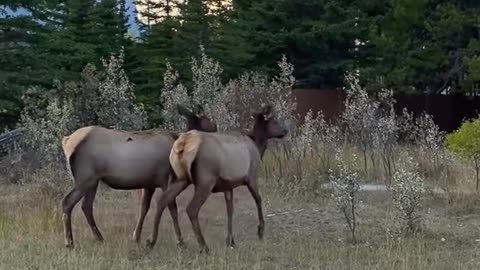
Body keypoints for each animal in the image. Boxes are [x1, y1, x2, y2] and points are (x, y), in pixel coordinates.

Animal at [60, 104, 218, 248]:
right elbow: (172, 207)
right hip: (85, 177)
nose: (216, 130)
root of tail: (66, 141)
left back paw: (99, 238)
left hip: (93, 180)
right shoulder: (165, 179)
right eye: (207, 121)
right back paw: (69, 242)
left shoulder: (149, 184)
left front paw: (136, 237)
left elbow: (144, 208)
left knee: (86, 206)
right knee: (67, 201)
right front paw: (180, 241)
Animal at [144, 104, 286, 253]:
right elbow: (258, 199)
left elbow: (230, 209)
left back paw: (151, 241)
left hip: (180, 178)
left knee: (162, 200)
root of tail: (184, 143)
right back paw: (203, 246)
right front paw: (260, 232)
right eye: (274, 121)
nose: (285, 130)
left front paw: (230, 240)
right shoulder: (252, 175)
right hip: (206, 180)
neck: (258, 147)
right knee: (191, 208)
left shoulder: (228, 185)